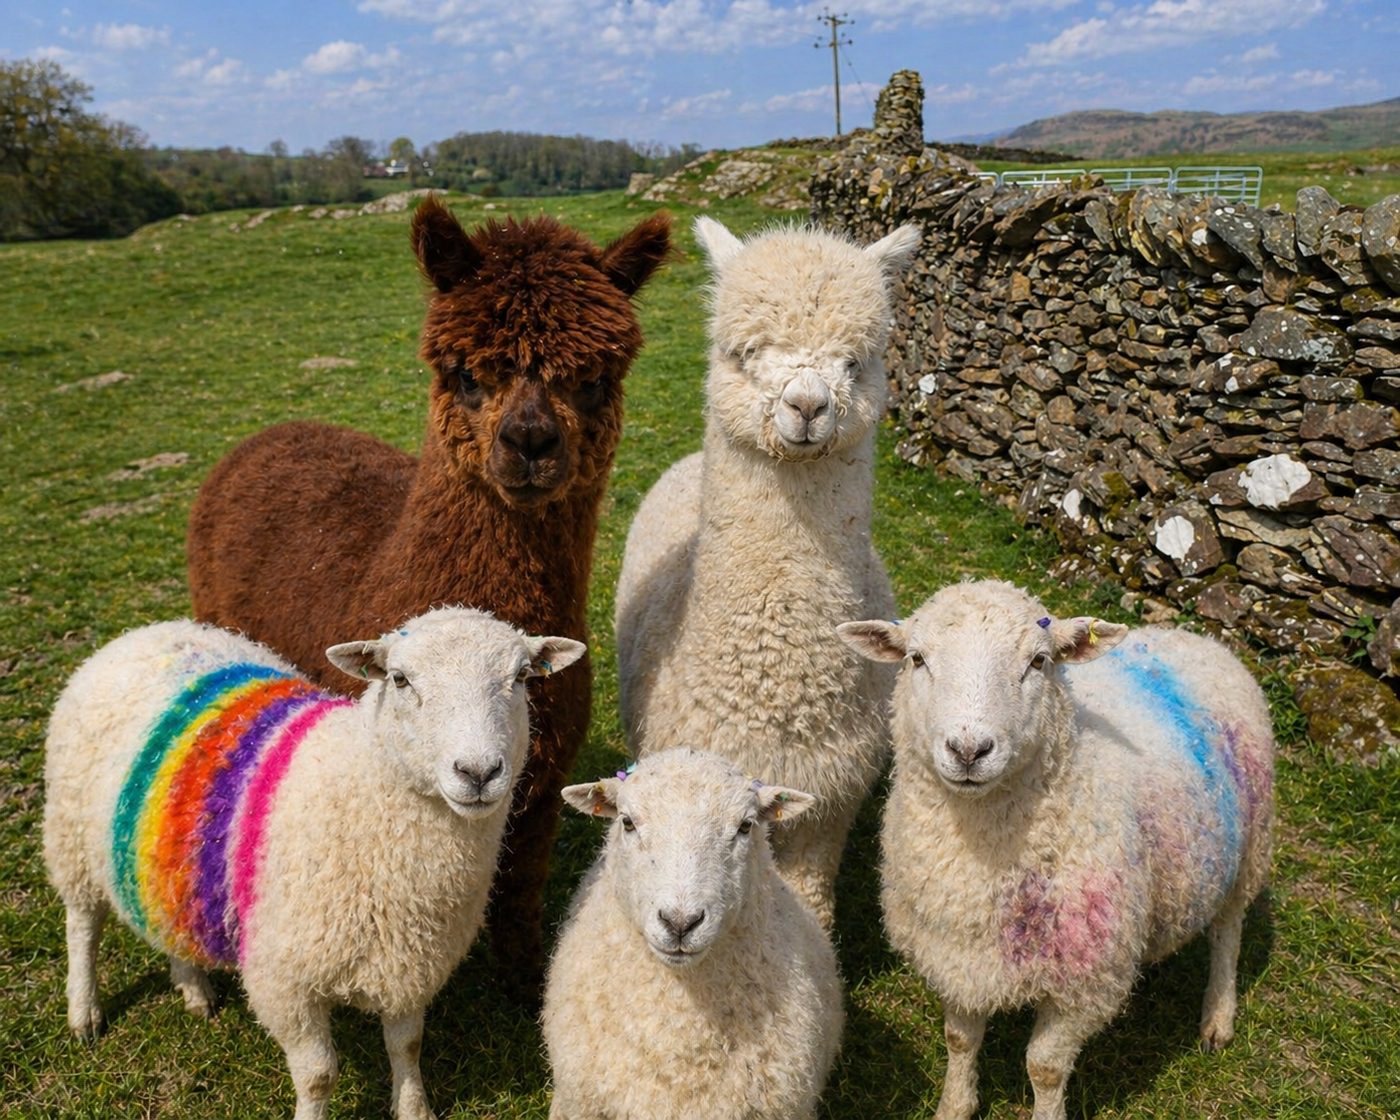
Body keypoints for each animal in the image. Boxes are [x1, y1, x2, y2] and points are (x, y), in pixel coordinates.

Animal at [43, 607, 585, 1120]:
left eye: (521, 677)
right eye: (400, 679)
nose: (478, 772)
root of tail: (143, 633)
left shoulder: (411, 963)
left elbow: (406, 1046)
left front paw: (414, 1108)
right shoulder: (284, 981)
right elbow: (319, 1074)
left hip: (170, 866)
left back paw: (193, 986)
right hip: (70, 836)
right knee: (82, 924)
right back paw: (84, 1011)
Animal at [187, 197, 671, 991]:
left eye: (594, 377)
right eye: (467, 373)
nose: (529, 441)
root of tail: (266, 434)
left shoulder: (540, 790)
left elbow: (520, 901)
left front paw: (522, 987)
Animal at [837, 580, 1275, 1120]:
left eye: (1038, 662)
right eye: (916, 659)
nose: (968, 750)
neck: (982, 858)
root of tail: (1196, 639)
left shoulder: (1084, 983)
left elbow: (1044, 1068)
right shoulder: (956, 955)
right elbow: (959, 1040)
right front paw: (954, 1105)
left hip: (1250, 846)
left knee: (1228, 931)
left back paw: (1218, 1016)